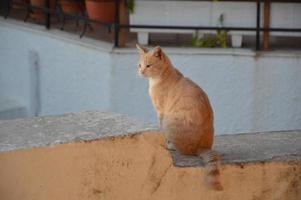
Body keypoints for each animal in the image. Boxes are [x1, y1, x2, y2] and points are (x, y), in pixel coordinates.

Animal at [137, 44, 221, 191]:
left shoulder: (161, 112)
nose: (141, 71)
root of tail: (203, 147)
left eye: (148, 65)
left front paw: (165, 143)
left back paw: (172, 146)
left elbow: (162, 131)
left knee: (184, 150)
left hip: (169, 121)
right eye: (139, 65)